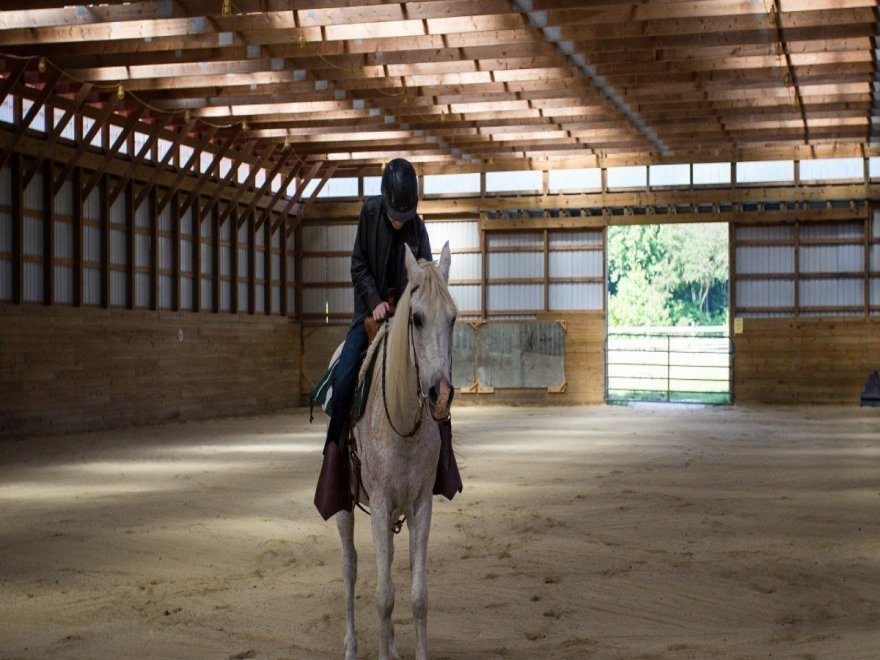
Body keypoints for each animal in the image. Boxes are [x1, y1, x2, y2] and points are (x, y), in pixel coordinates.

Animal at [336, 242, 458, 660]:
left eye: (453, 319)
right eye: (416, 319)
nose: (440, 395)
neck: (403, 422)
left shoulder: (420, 503)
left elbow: (417, 596)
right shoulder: (380, 502)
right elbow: (383, 597)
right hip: (345, 505)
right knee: (352, 567)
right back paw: (353, 646)